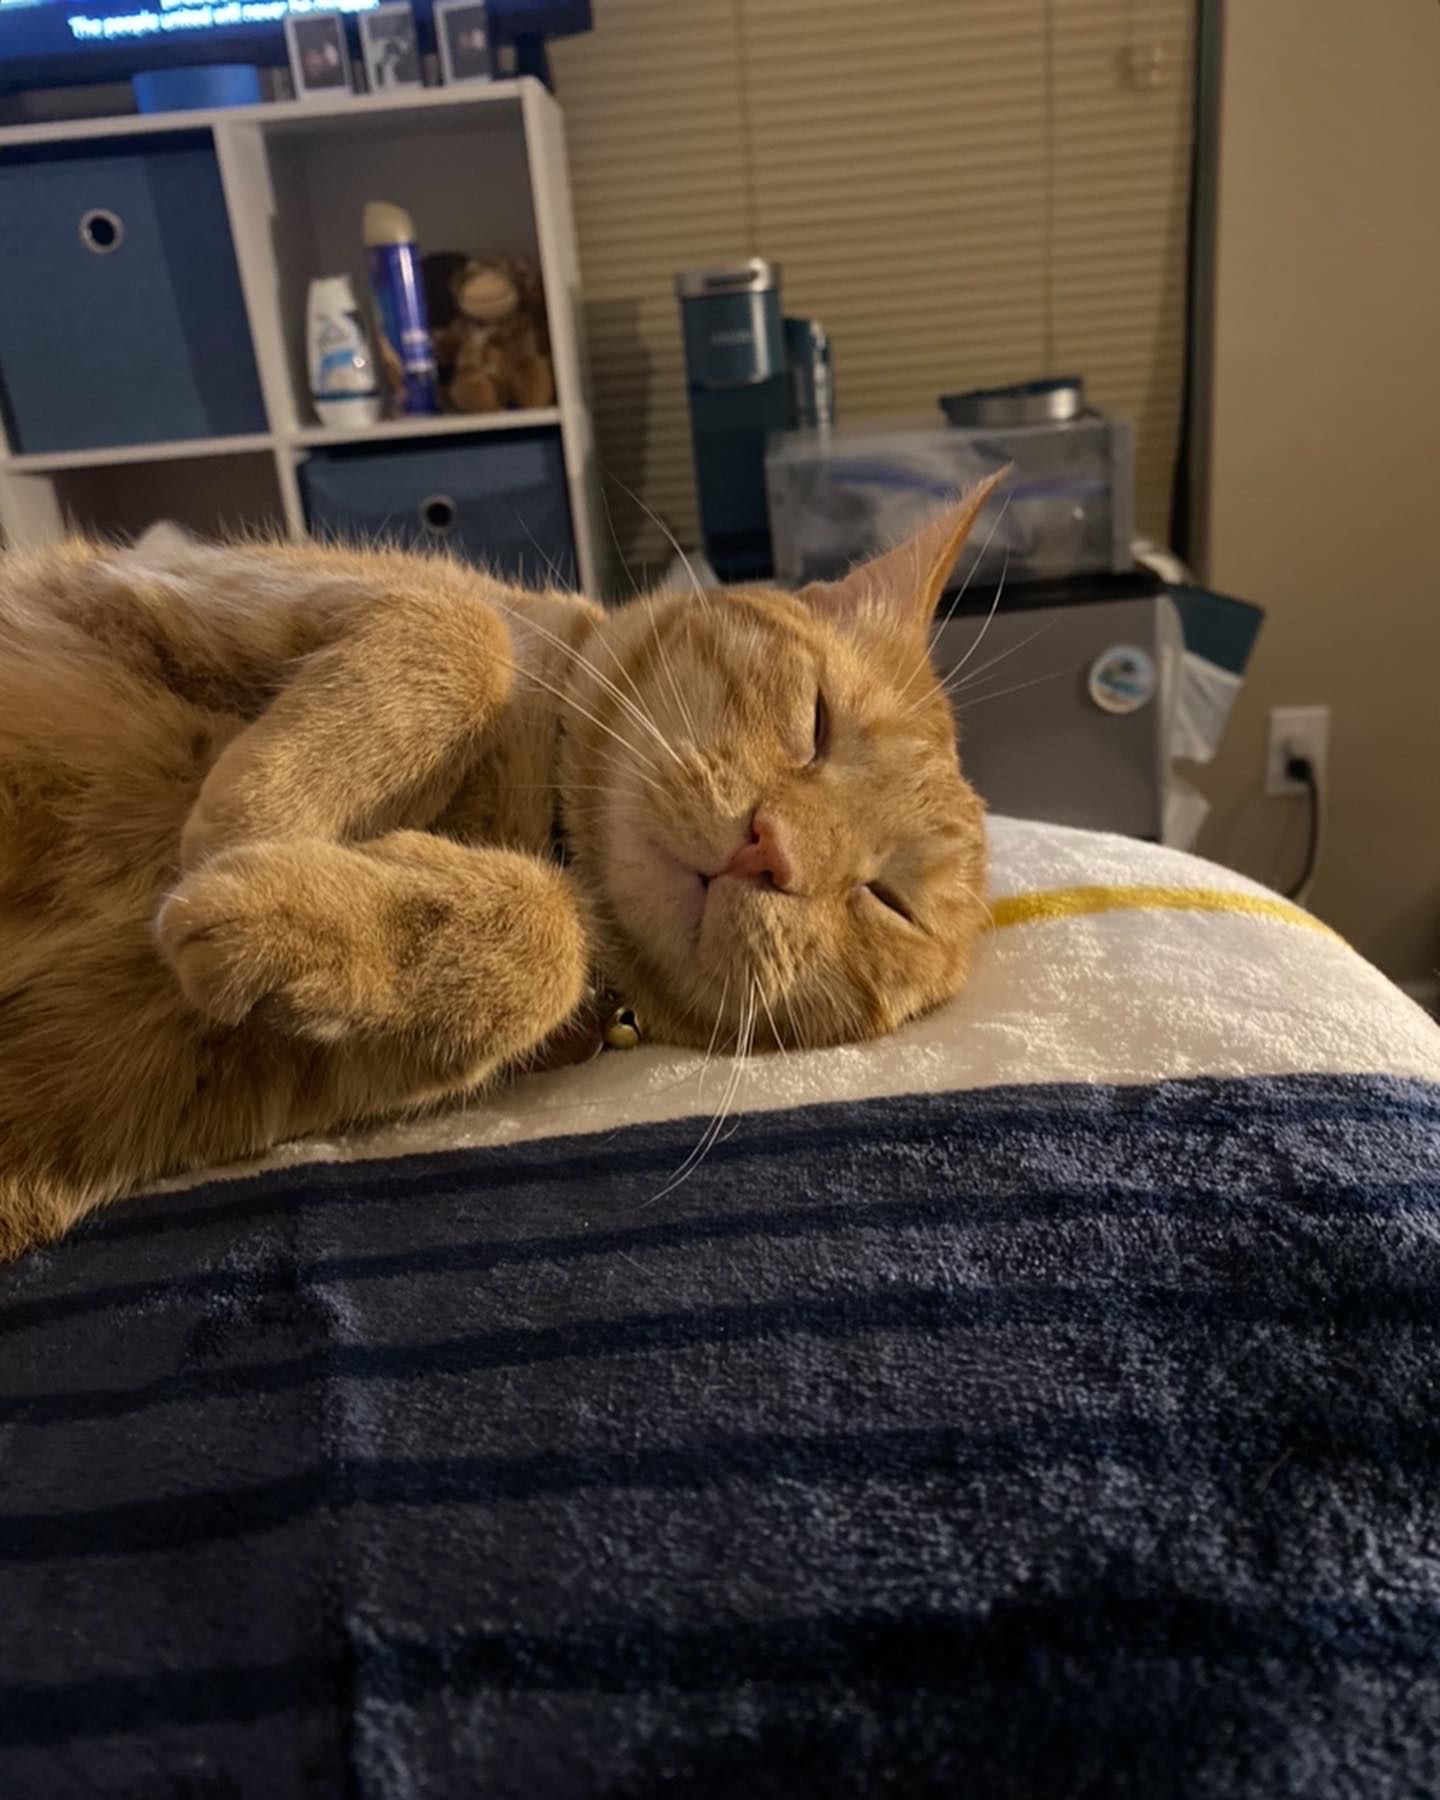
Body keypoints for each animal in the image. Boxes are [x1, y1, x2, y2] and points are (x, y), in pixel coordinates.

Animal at [0, 472, 1001, 1258]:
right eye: (817, 722)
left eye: (885, 901)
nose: (773, 848)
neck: (535, 820)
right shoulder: (199, 577)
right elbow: (464, 634)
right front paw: (254, 819)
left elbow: (548, 949)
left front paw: (278, 893)